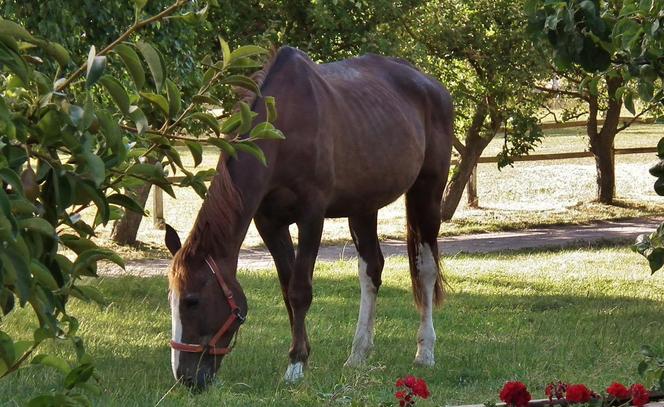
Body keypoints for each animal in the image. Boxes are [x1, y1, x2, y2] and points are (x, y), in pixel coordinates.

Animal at [165, 46, 454, 390]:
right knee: (371, 270)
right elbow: (287, 290)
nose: (185, 377)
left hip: (427, 193)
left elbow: (300, 290)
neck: (284, 128)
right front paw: (300, 355)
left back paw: (425, 351)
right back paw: (358, 353)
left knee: (426, 269)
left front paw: (295, 365)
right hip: (363, 206)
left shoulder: (311, 217)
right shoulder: (269, 223)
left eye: (192, 301)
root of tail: (432, 85)